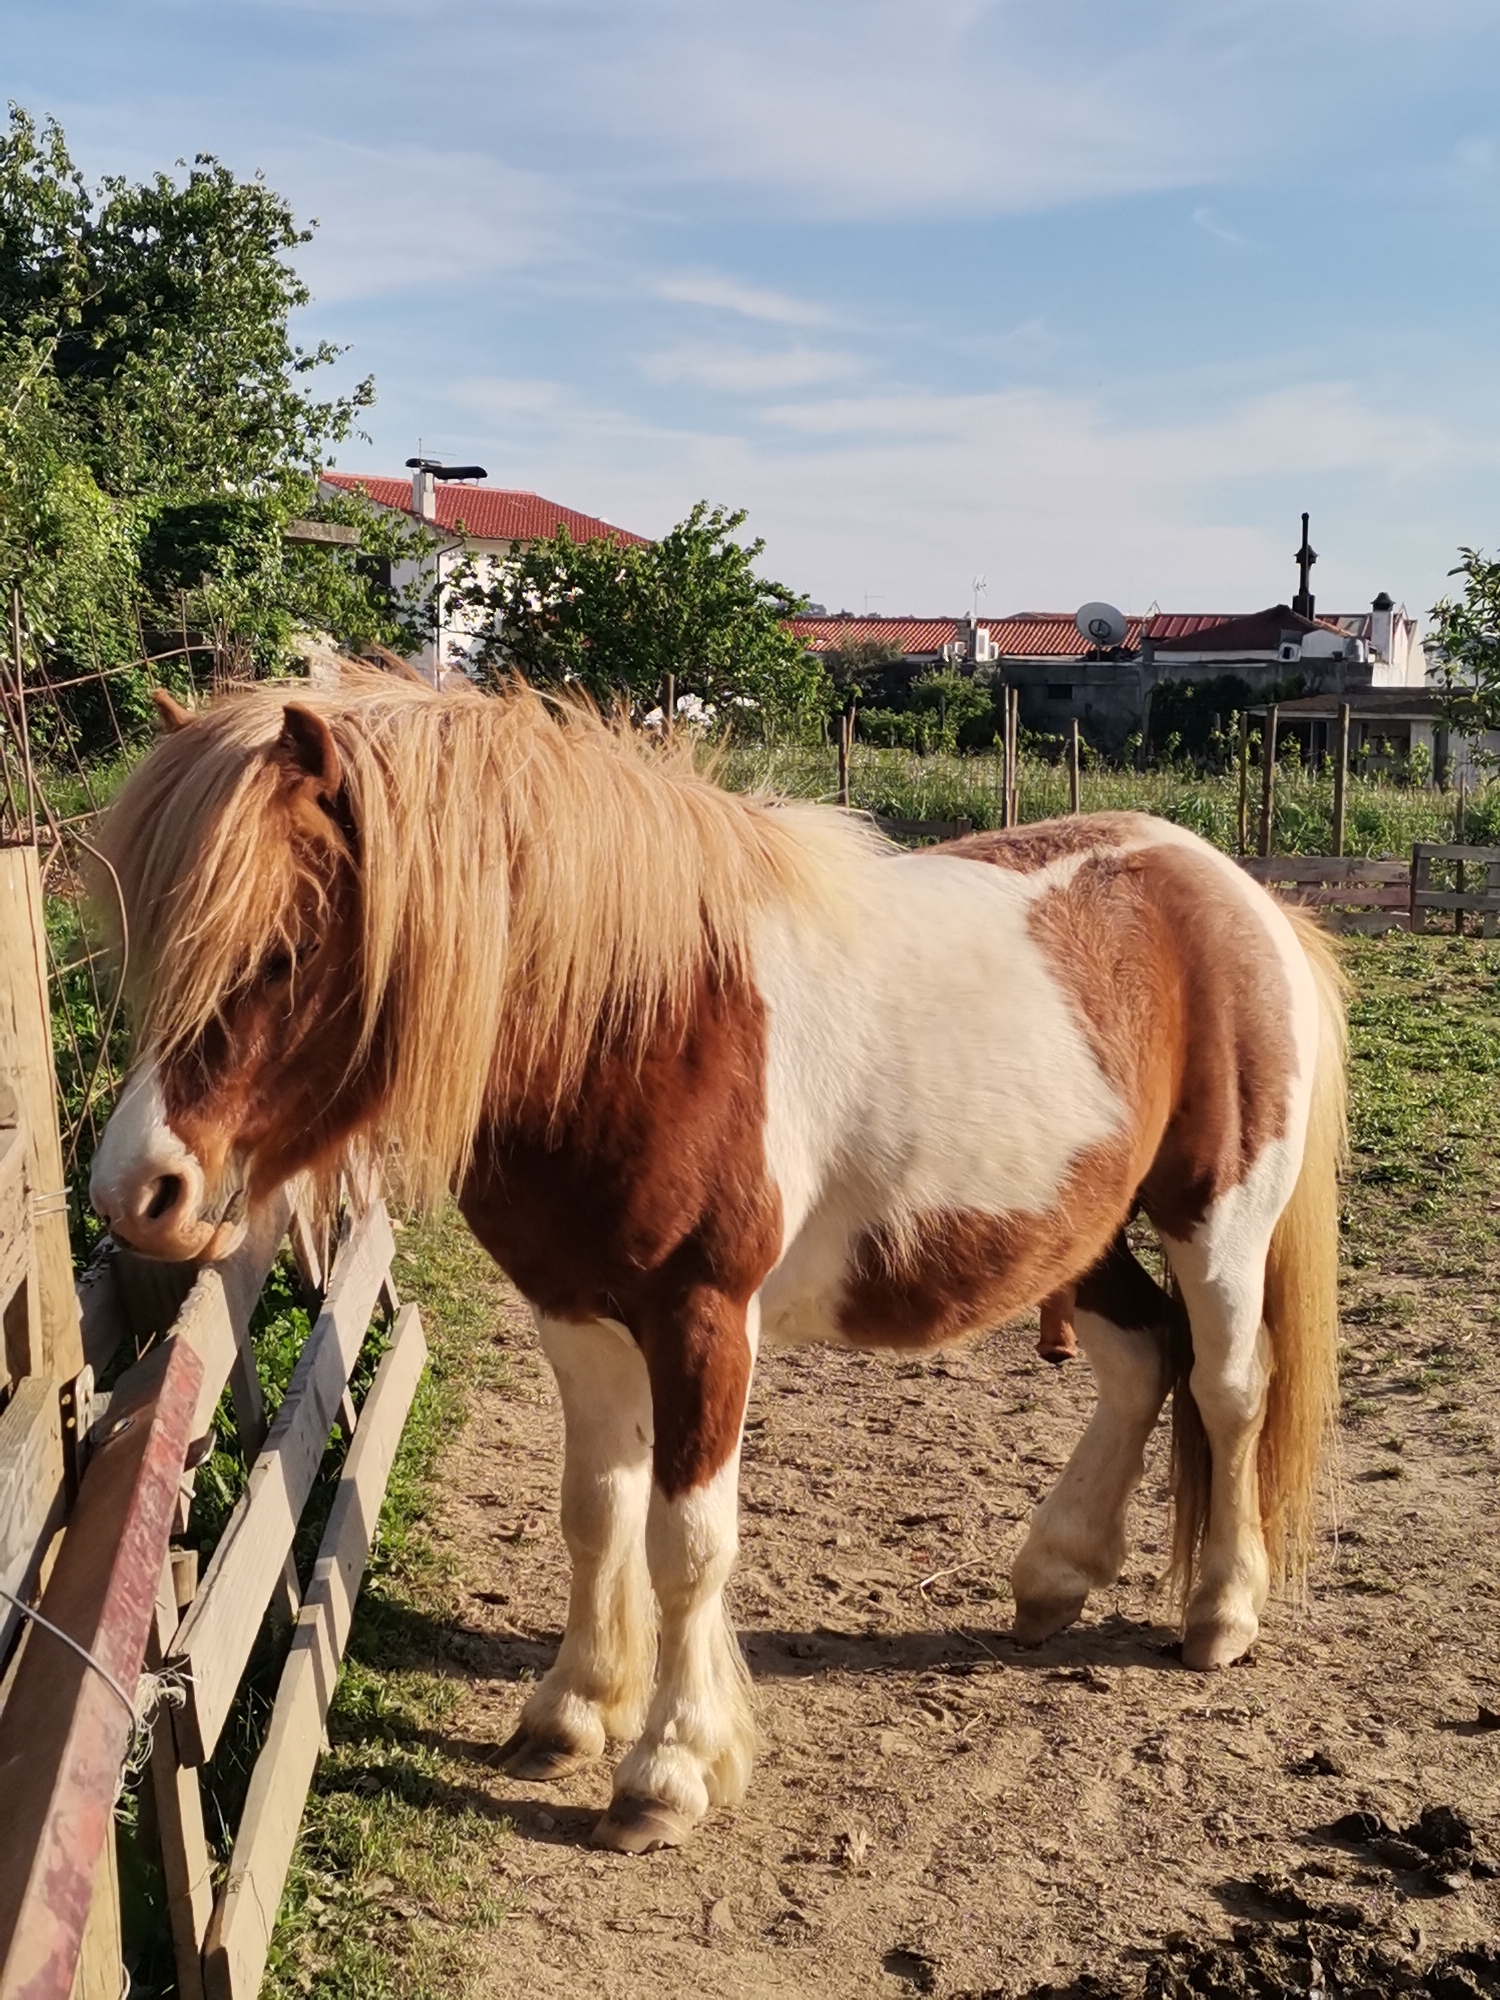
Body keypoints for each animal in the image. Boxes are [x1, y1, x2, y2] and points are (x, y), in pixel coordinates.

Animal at [88, 671, 1346, 1854]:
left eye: (281, 950)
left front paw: (668, 1769)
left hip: (1212, 1219)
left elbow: (687, 1544)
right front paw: (572, 1709)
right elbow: (595, 1510)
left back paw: (1221, 1612)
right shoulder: (575, 1314)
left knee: (1229, 1386)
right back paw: (1053, 1574)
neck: (638, 1019)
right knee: (1143, 1360)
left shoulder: (703, 1319)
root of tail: (1241, 894)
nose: (134, 1192)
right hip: (1076, 1229)